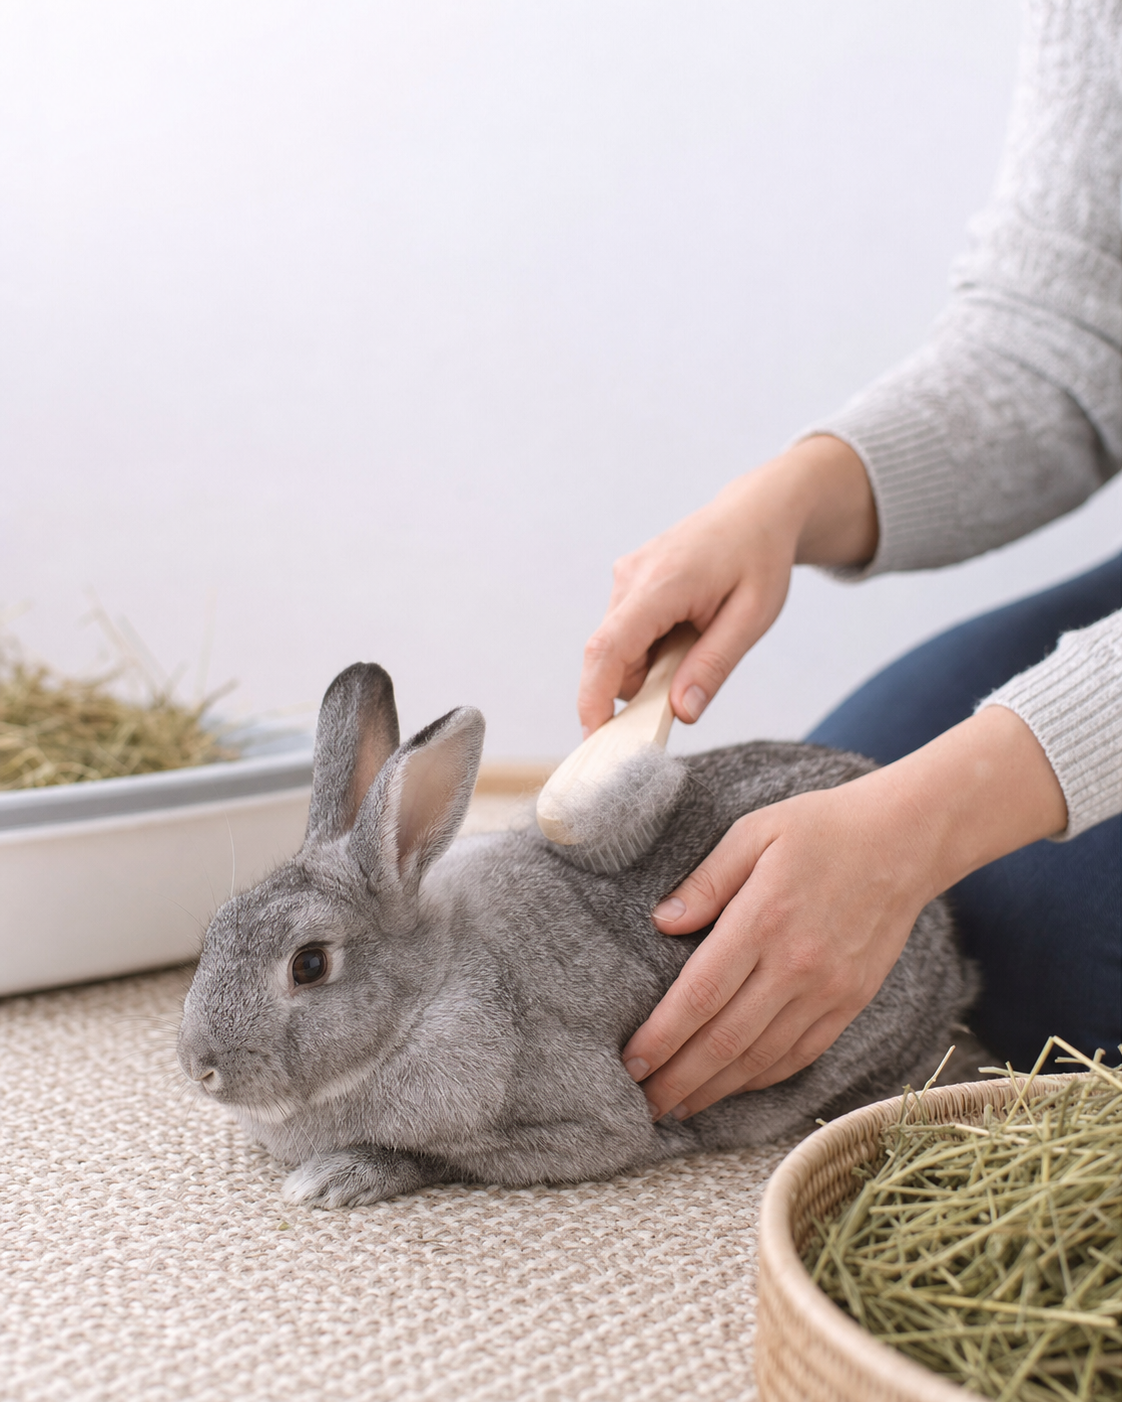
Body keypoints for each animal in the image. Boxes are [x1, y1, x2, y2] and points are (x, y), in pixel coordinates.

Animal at [177, 662, 974, 1208]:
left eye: (309, 964)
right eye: (215, 929)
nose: (198, 1067)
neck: (427, 994)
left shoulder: (587, 1125)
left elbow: (443, 1158)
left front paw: (331, 1180)